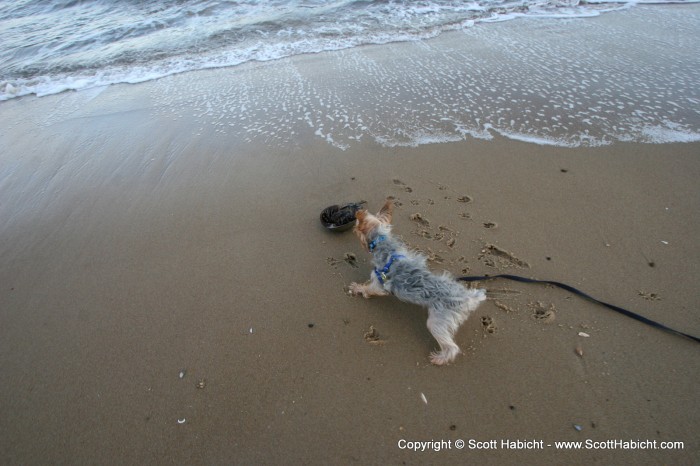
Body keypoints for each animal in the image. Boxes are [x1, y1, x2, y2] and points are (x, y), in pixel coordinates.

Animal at [350, 198, 486, 366]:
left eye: (356, 225)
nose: (353, 227)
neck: (384, 245)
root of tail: (468, 297)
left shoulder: (379, 283)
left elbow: (368, 288)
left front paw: (357, 288)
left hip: (437, 321)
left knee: (451, 347)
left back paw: (439, 358)